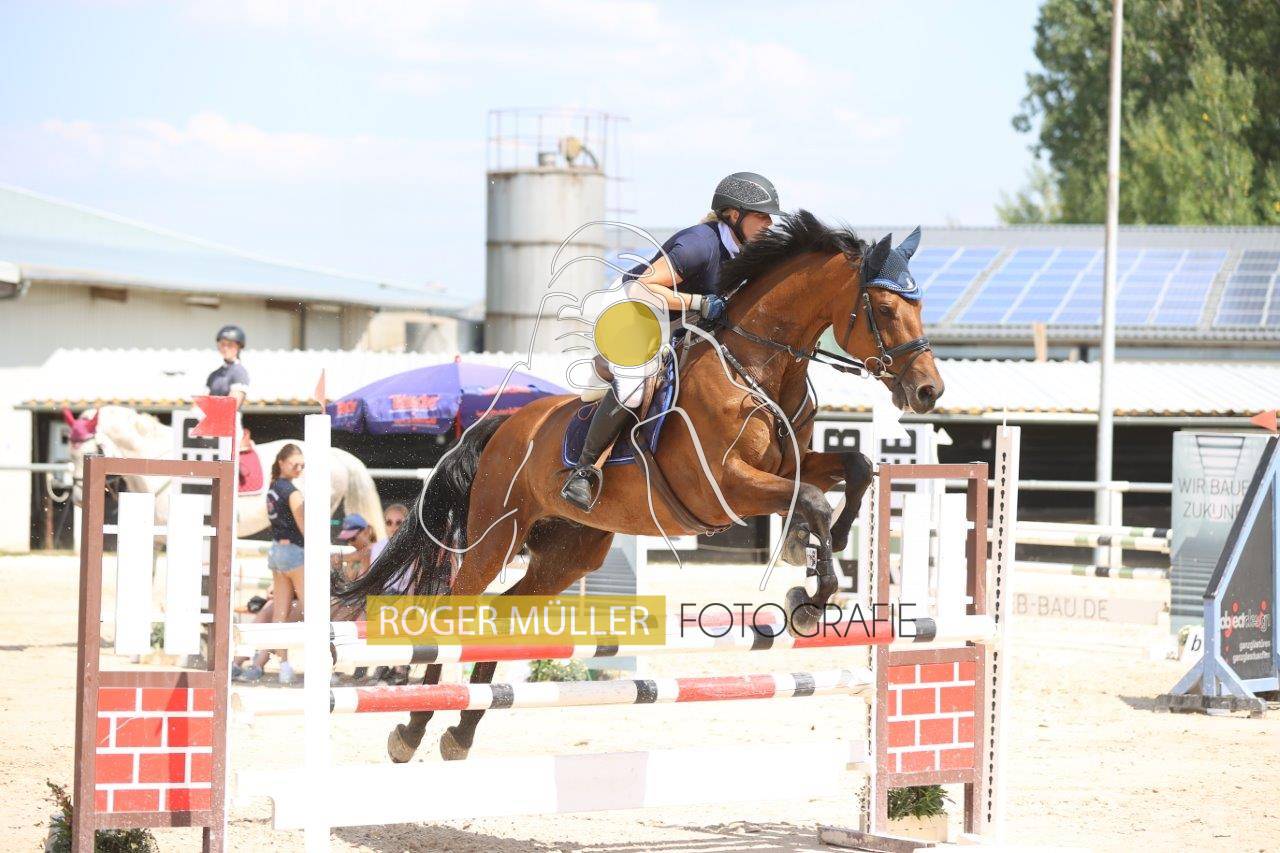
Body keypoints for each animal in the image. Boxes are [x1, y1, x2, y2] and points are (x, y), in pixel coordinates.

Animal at [344, 210, 944, 763]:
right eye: (885, 309)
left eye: (919, 308)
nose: (928, 392)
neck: (757, 368)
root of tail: (503, 426)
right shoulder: (725, 487)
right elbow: (814, 499)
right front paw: (811, 594)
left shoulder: (793, 465)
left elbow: (856, 466)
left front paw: (822, 554)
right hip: (496, 537)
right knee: (455, 613)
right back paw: (411, 728)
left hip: (568, 554)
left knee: (504, 617)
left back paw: (460, 731)